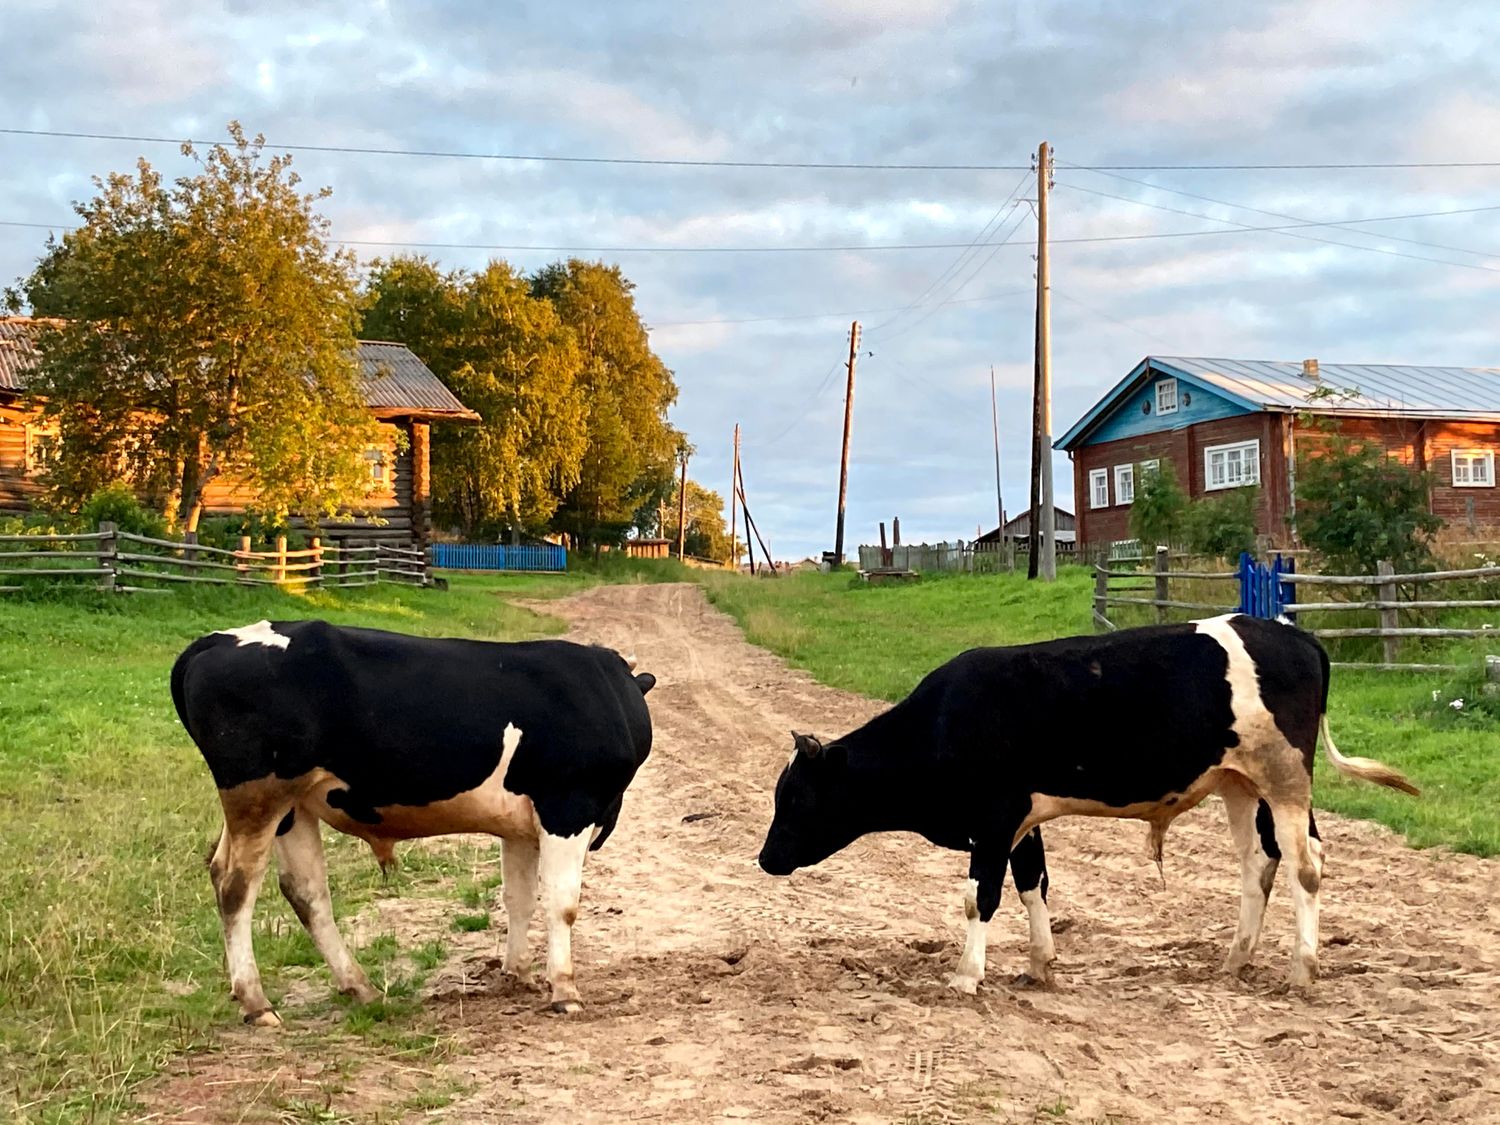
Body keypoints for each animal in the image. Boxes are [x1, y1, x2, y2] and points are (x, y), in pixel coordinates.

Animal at [172, 621, 654, 1026]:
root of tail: (215, 641)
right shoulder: (569, 807)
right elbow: (562, 903)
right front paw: (564, 990)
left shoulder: (521, 825)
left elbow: (519, 899)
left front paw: (517, 974)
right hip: (259, 797)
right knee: (236, 885)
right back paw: (257, 1002)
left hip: (292, 807)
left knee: (304, 891)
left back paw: (359, 987)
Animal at [762, 618, 1416, 996]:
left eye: (795, 797)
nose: (765, 859)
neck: (947, 721)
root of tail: (1295, 634)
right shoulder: (1021, 823)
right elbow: (1033, 885)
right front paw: (1039, 964)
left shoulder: (993, 820)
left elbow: (981, 897)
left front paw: (967, 976)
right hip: (1240, 783)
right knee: (1260, 863)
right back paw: (1235, 961)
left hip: (1283, 779)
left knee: (1306, 867)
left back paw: (1302, 970)